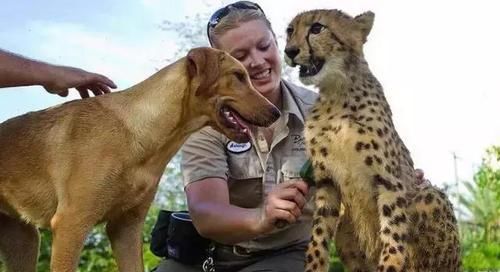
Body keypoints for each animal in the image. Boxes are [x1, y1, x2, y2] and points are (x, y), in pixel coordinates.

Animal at [286, 9, 460, 272]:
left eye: (317, 28)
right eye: (290, 31)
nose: (289, 51)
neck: (336, 93)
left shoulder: (389, 181)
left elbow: (393, 234)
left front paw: (389, 263)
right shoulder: (326, 182)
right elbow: (317, 238)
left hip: (428, 196)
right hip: (345, 226)